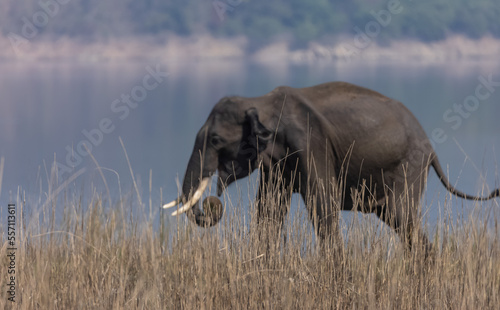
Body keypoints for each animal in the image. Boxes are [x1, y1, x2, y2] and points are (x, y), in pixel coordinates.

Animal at [165, 81, 500, 251]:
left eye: (216, 140)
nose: (211, 204)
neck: (260, 102)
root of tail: (431, 148)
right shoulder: (276, 162)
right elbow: (269, 209)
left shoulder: (312, 144)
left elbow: (321, 205)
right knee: (397, 220)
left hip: (409, 165)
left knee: (403, 218)